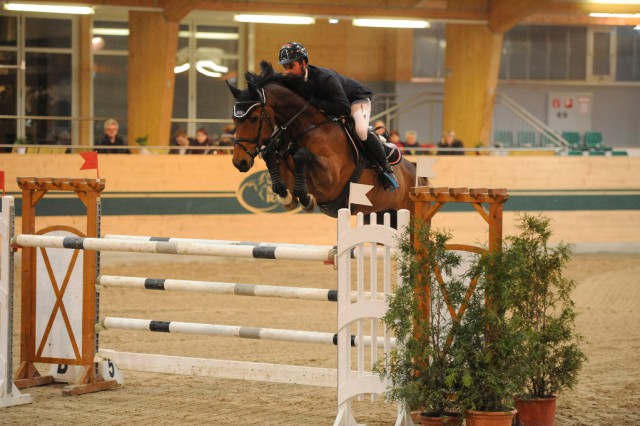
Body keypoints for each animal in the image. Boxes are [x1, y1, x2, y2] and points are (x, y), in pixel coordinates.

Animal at [226, 62, 424, 226]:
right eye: (234, 120)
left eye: (253, 118)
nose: (239, 162)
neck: (305, 128)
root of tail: (415, 172)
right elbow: (271, 159)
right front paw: (287, 197)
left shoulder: (330, 180)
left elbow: (302, 155)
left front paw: (306, 199)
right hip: (380, 214)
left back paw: (389, 175)